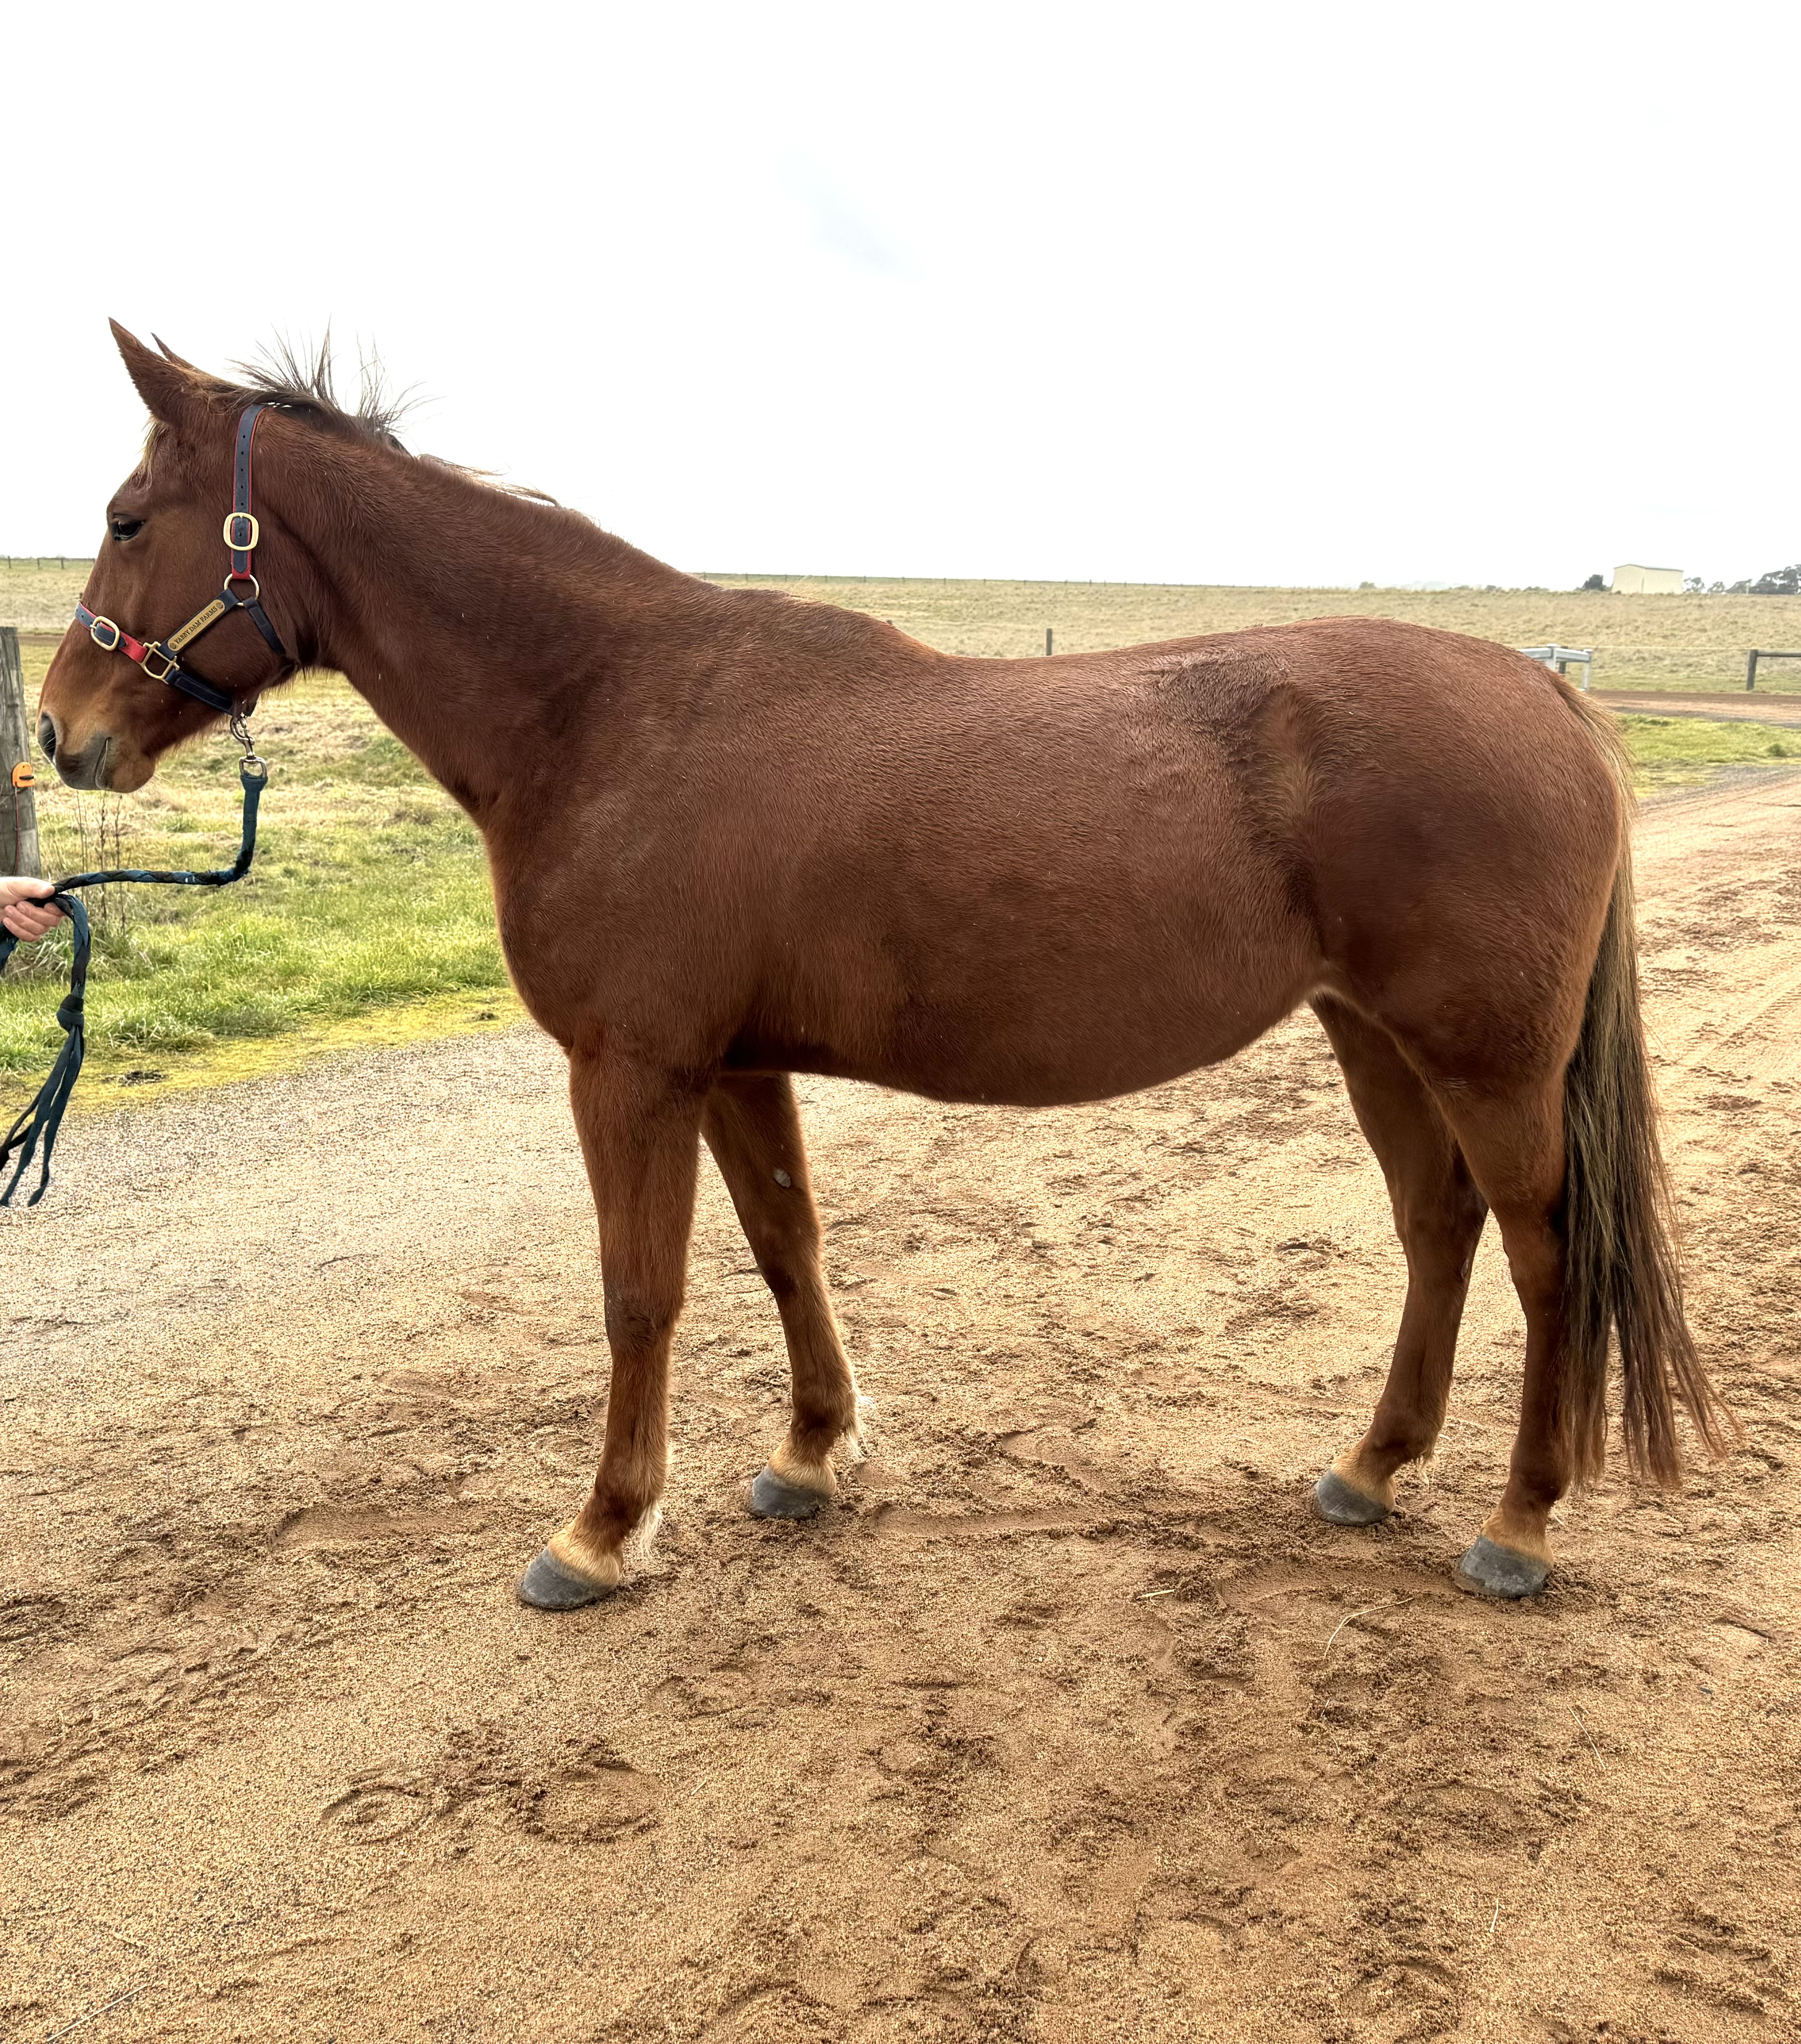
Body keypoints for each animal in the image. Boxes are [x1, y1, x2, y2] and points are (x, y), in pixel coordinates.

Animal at [34, 324, 1730, 1610]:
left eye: (124, 518)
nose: (62, 733)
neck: (604, 709)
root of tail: (1546, 694)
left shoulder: (630, 1072)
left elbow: (639, 1291)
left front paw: (599, 1531)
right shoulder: (731, 1065)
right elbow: (788, 1246)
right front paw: (807, 1455)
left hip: (1484, 1059)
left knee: (1544, 1254)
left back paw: (1514, 1526)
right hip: (1372, 1037)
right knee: (1437, 1231)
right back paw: (1369, 1469)